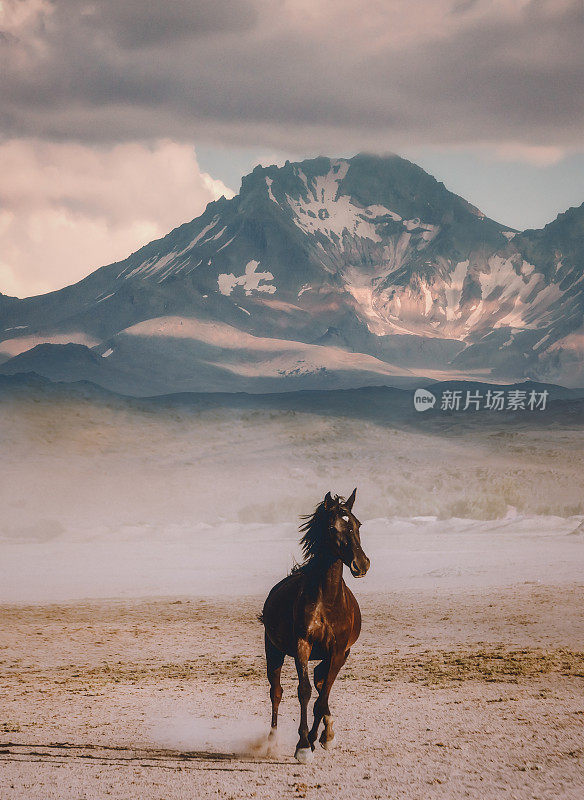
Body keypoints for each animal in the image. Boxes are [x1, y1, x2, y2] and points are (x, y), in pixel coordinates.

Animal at [260, 488, 370, 764]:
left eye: (357, 524)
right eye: (332, 527)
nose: (362, 564)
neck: (327, 601)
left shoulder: (338, 651)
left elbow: (323, 696)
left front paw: (319, 737)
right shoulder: (303, 645)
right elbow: (305, 691)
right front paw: (302, 745)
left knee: (321, 684)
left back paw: (324, 734)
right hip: (273, 652)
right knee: (276, 692)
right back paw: (271, 741)